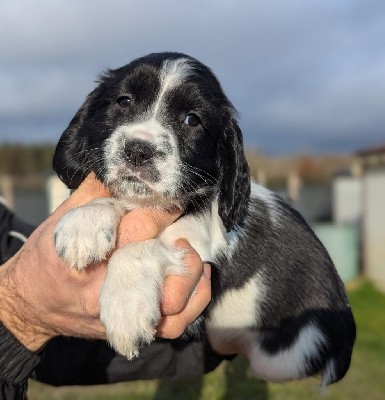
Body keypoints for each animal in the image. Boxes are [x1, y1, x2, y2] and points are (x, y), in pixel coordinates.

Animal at [52, 51, 356, 386]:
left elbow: (141, 249)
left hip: (282, 358)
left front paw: (127, 310)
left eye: (192, 120)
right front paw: (85, 223)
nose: (138, 150)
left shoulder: (200, 254)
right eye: (124, 101)